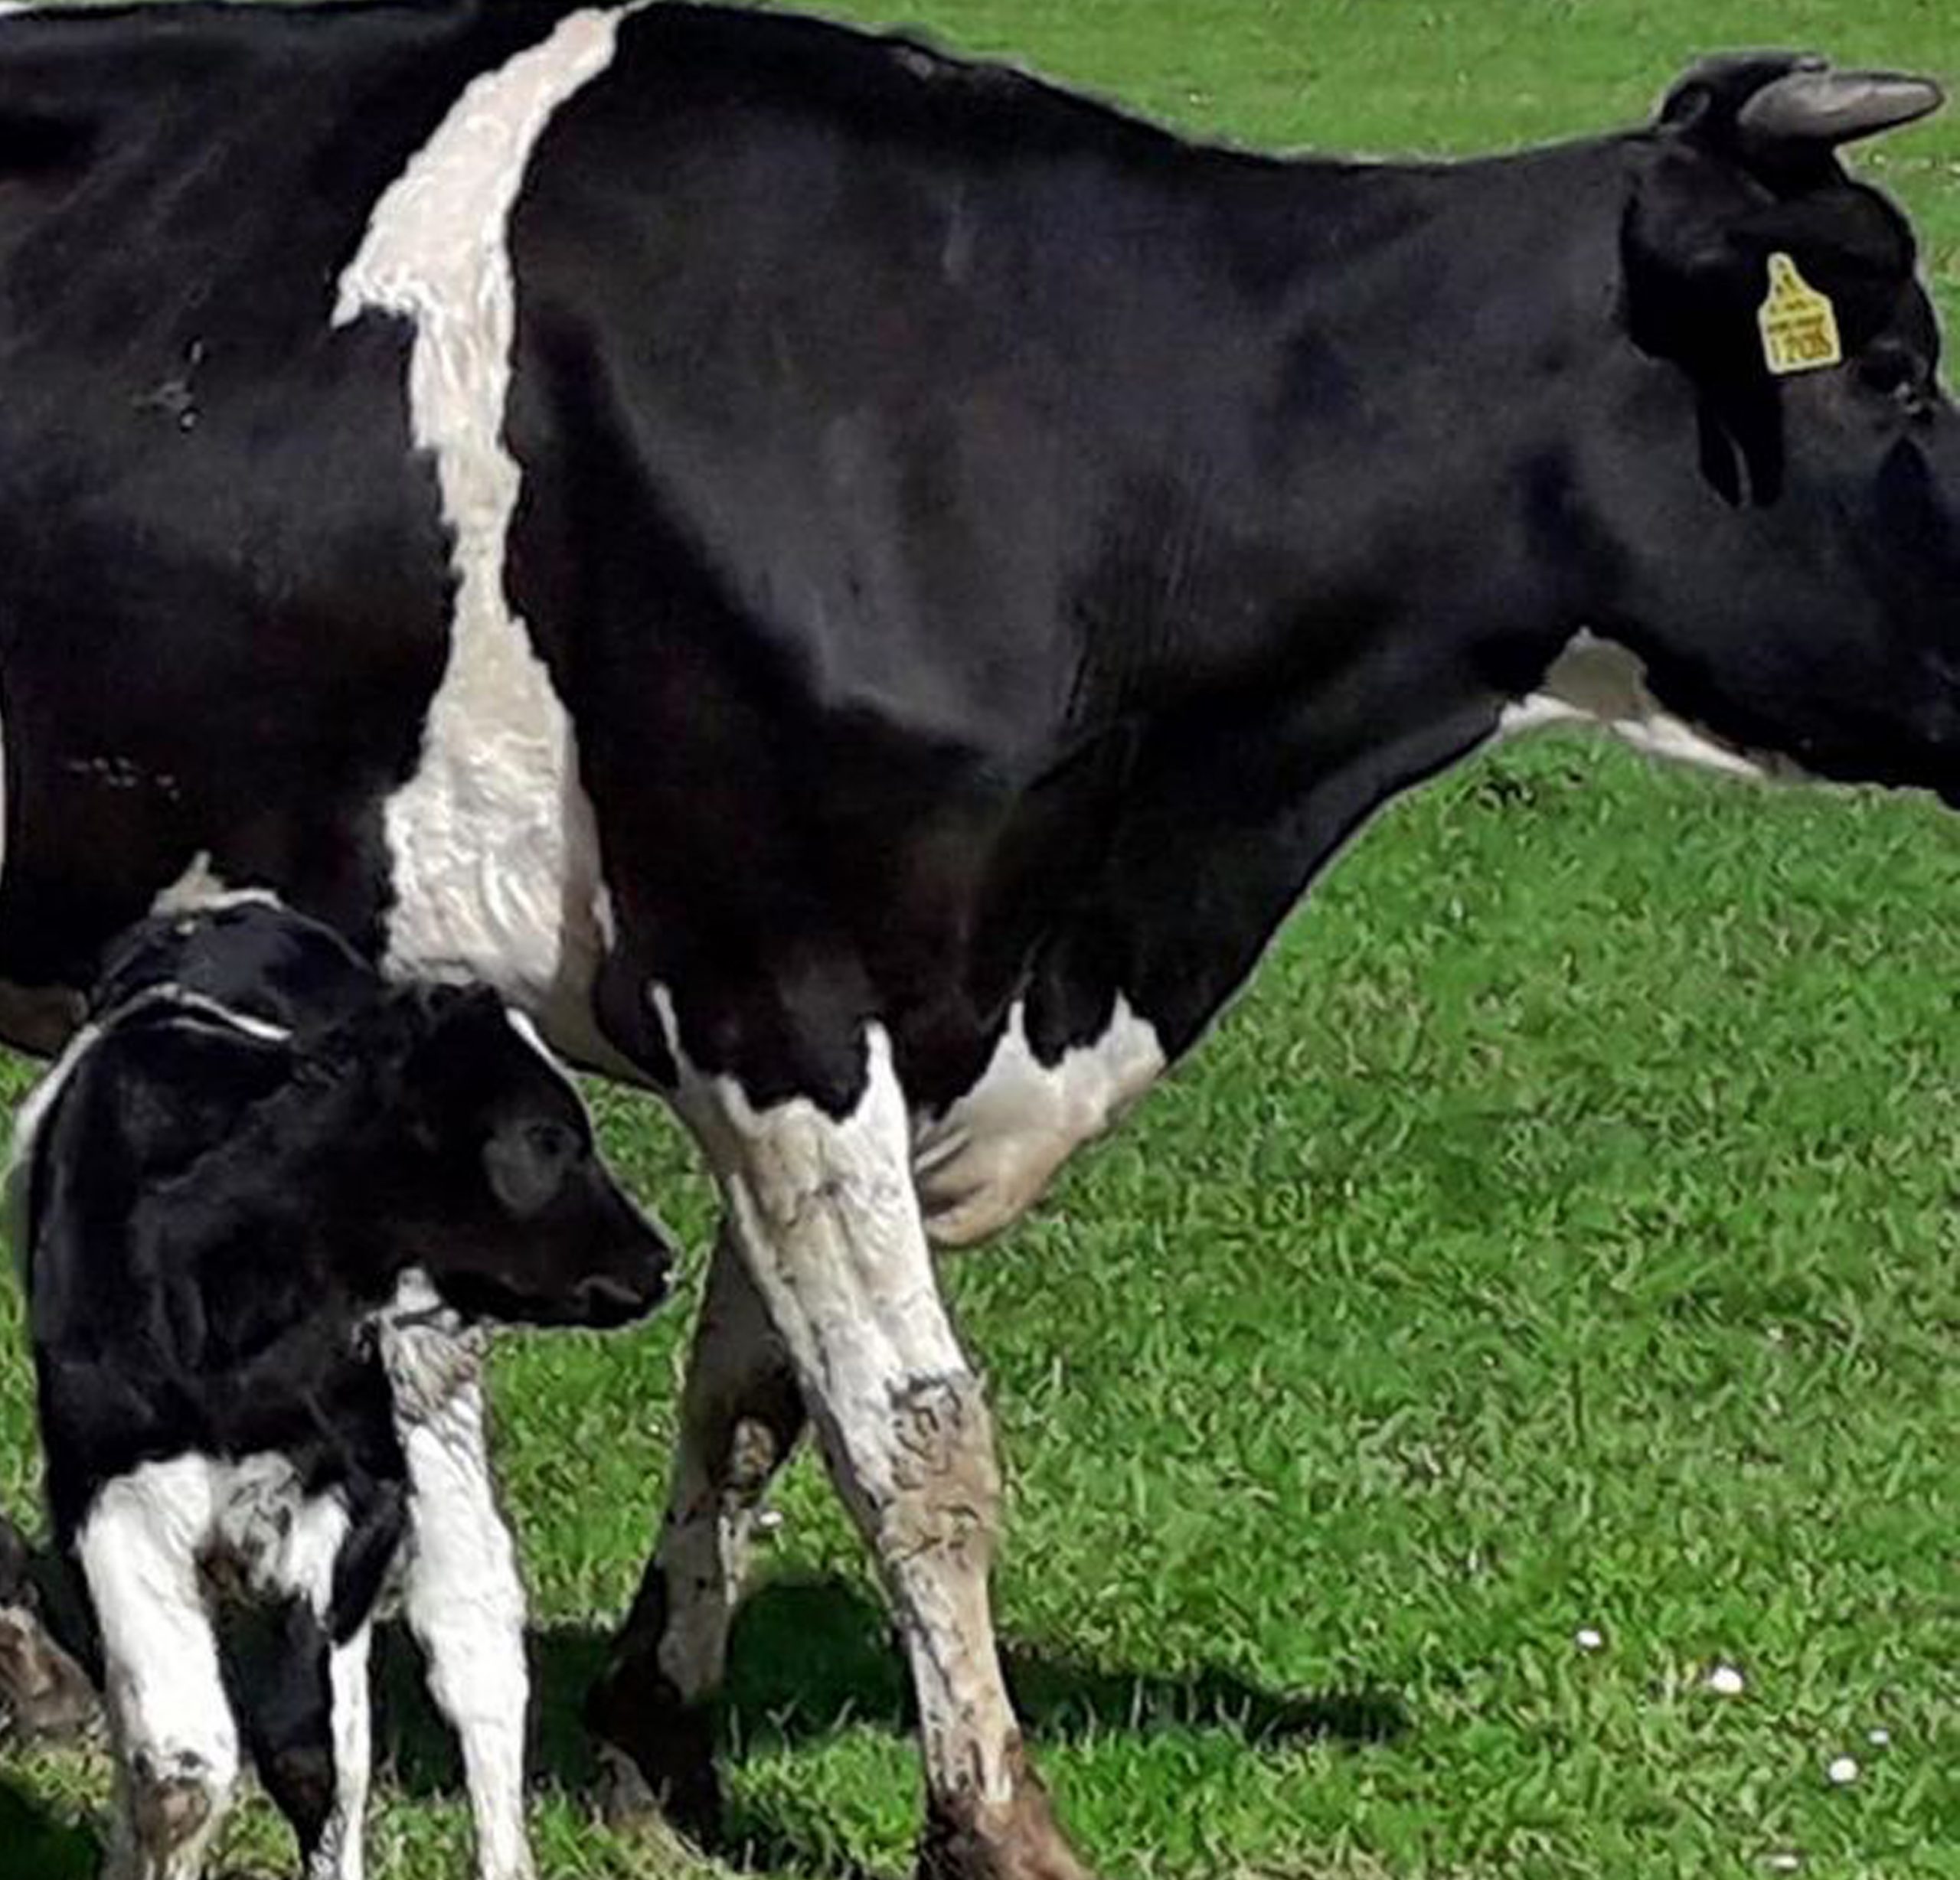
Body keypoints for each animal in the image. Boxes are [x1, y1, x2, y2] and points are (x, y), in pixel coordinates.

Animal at [16, 900, 676, 1880]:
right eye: (547, 1138)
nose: (659, 1258)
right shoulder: (103, 1490)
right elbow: (179, 1759)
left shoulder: (364, 1489)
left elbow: (312, 1749)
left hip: (435, 1403)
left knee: (472, 1642)